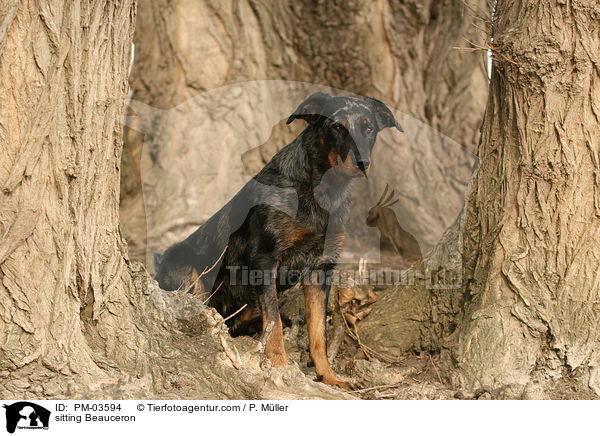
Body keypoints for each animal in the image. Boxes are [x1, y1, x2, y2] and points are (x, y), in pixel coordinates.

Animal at [155, 93, 400, 388]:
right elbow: (274, 324)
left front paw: (329, 376)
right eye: (337, 127)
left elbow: (318, 332)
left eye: (369, 128)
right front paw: (281, 364)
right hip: (182, 265)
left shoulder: (320, 269)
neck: (323, 191)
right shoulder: (265, 258)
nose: (363, 163)